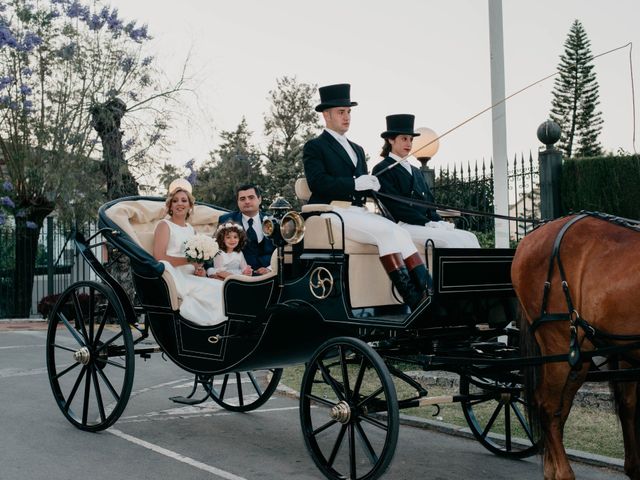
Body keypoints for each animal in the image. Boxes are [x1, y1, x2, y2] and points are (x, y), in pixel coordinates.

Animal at [510, 213, 640, 480]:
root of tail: (528, 239)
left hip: (579, 357)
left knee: (561, 410)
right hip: (557, 346)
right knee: (548, 406)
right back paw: (563, 472)